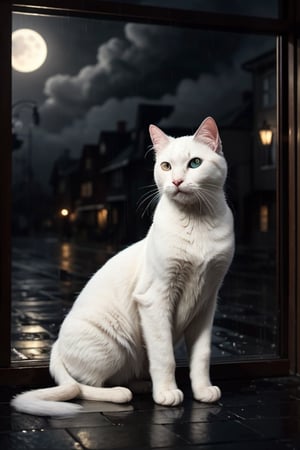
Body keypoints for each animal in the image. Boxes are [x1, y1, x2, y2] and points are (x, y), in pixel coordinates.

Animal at [11, 115, 234, 414]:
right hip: (111, 347)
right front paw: (167, 393)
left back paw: (142, 385)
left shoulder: (207, 302)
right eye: (166, 166)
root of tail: (55, 345)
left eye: (195, 163)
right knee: (83, 387)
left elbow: (201, 357)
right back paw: (122, 393)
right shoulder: (155, 298)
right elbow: (164, 355)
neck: (196, 223)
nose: (176, 181)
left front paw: (202, 391)